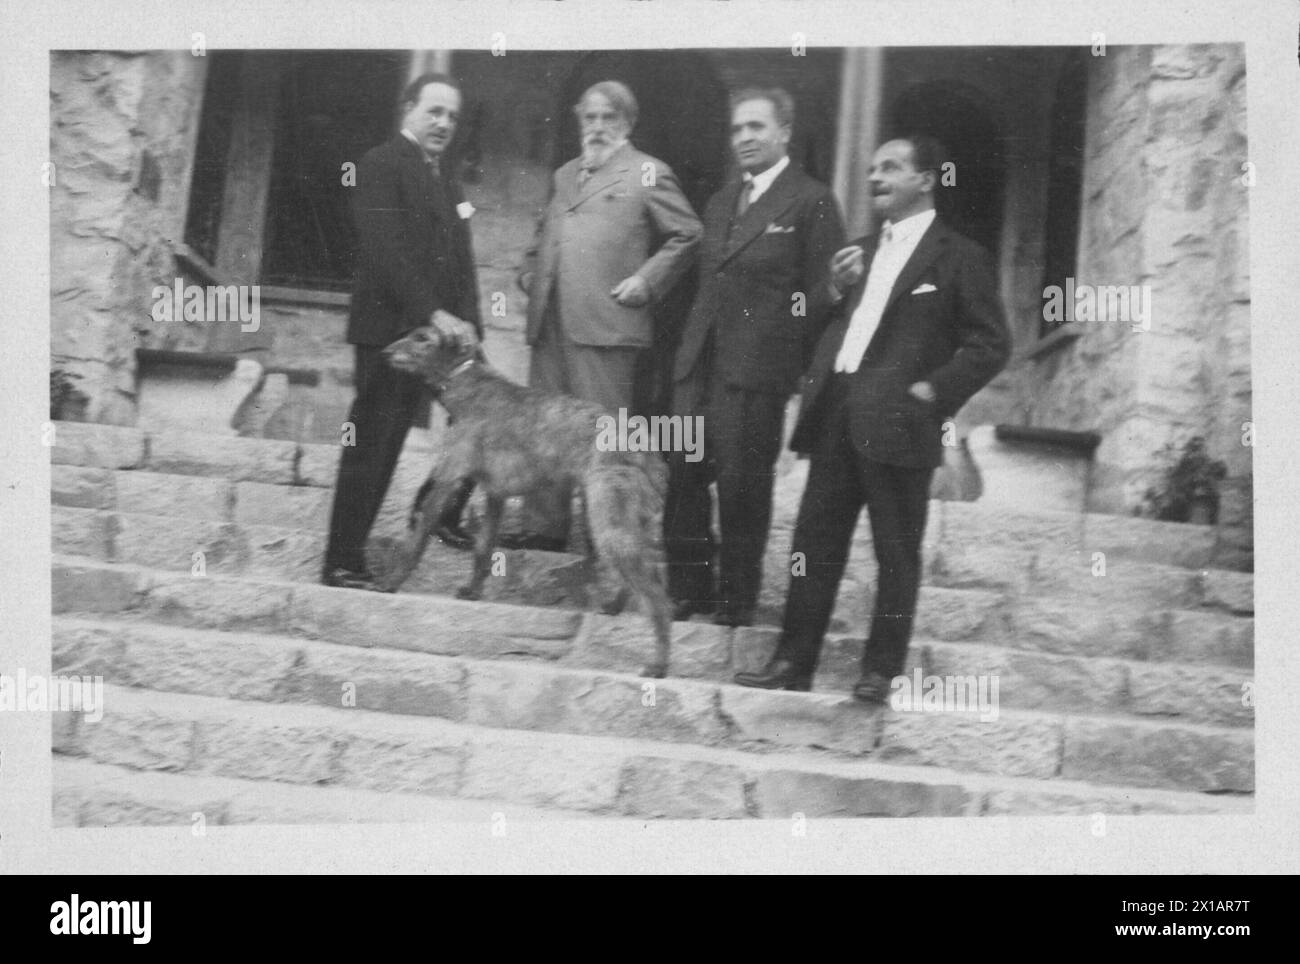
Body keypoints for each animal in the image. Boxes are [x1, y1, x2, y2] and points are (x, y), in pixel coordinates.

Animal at [379, 328, 676, 685]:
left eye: (422, 338)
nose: (385, 352)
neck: (464, 378)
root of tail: (648, 447)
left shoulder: (450, 478)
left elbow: (419, 535)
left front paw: (391, 581)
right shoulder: (494, 493)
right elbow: (483, 550)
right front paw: (473, 590)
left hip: (609, 515)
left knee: (658, 598)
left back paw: (658, 664)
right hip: (623, 518)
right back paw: (615, 606)